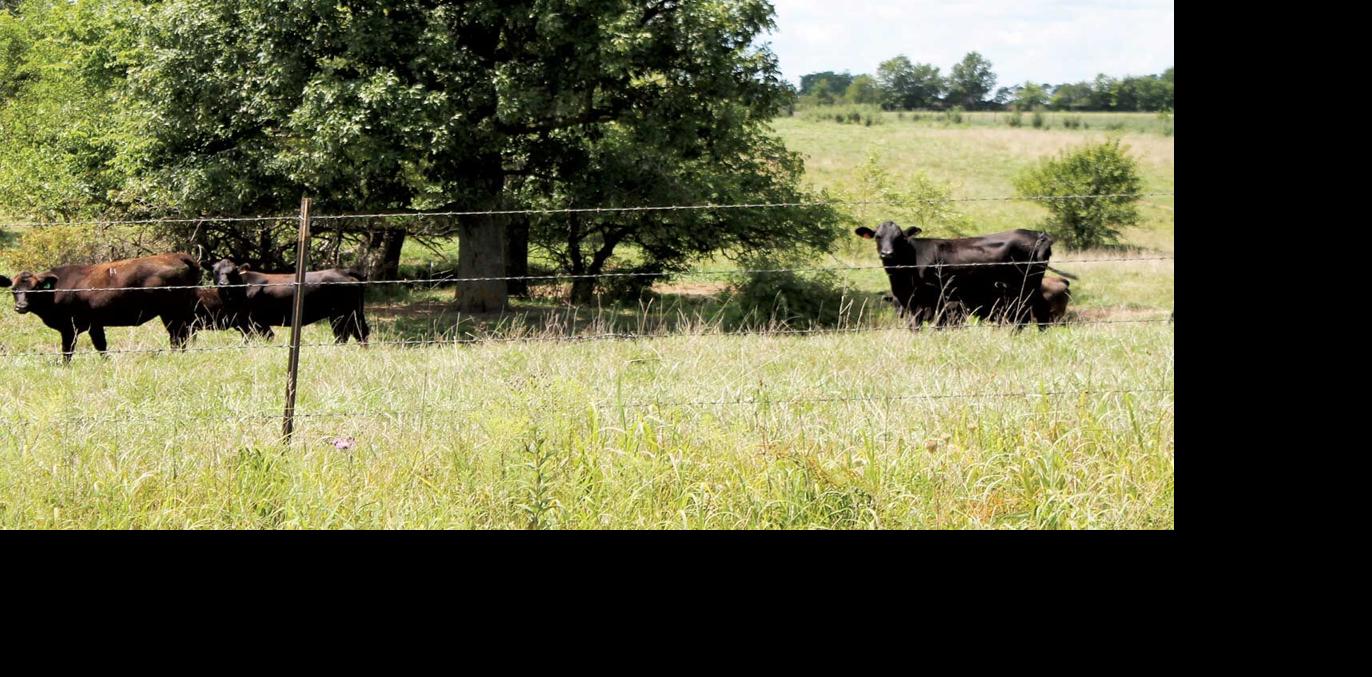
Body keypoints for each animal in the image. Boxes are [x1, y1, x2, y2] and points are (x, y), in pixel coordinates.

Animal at [3, 253, 202, 361]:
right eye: (14, 289)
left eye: (34, 289)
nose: (21, 306)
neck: (56, 288)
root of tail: (175, 255)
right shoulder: (95, 325)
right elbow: (101, 346)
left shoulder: (69, 328)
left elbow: (68, 350)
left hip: (171, 313)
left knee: (178, 337)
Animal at [208, 259, 370, 344]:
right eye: (216, 271)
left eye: (232, 271)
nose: (223, 283)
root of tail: (342, 271)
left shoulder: (252, 322)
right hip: (353, 314)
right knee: (360, 333)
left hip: (342, 315)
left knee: (344, 335)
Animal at [856, 221, 1070, 330]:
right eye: (878, 237)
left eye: (899, 237)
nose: (887, 253)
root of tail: (1038, 234)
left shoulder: (927, 302)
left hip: (1024, 290)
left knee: (1026, 316)